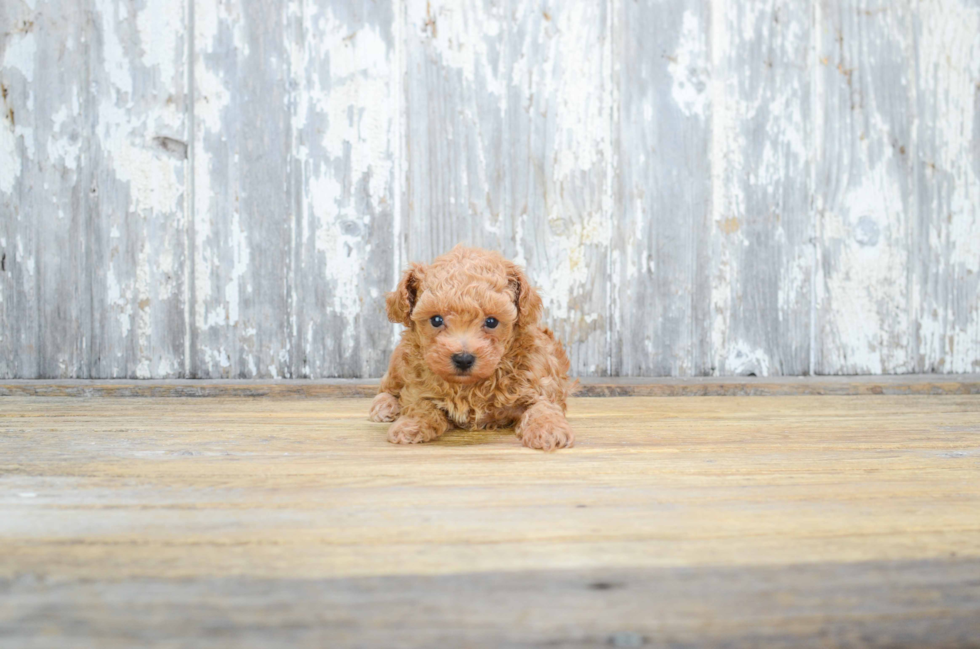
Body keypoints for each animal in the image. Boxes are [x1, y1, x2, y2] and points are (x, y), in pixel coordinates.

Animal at [370, 244, 576, 450]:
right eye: (436, 320)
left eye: (492, 322)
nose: (463, 359)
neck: (469, 385)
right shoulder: (417, 382)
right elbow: (420, 403)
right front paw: (411, 424)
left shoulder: (541, 382)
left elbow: (543, 405)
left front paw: (548, 429)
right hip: (398, 362)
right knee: (387, 387)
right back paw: (384, 405)